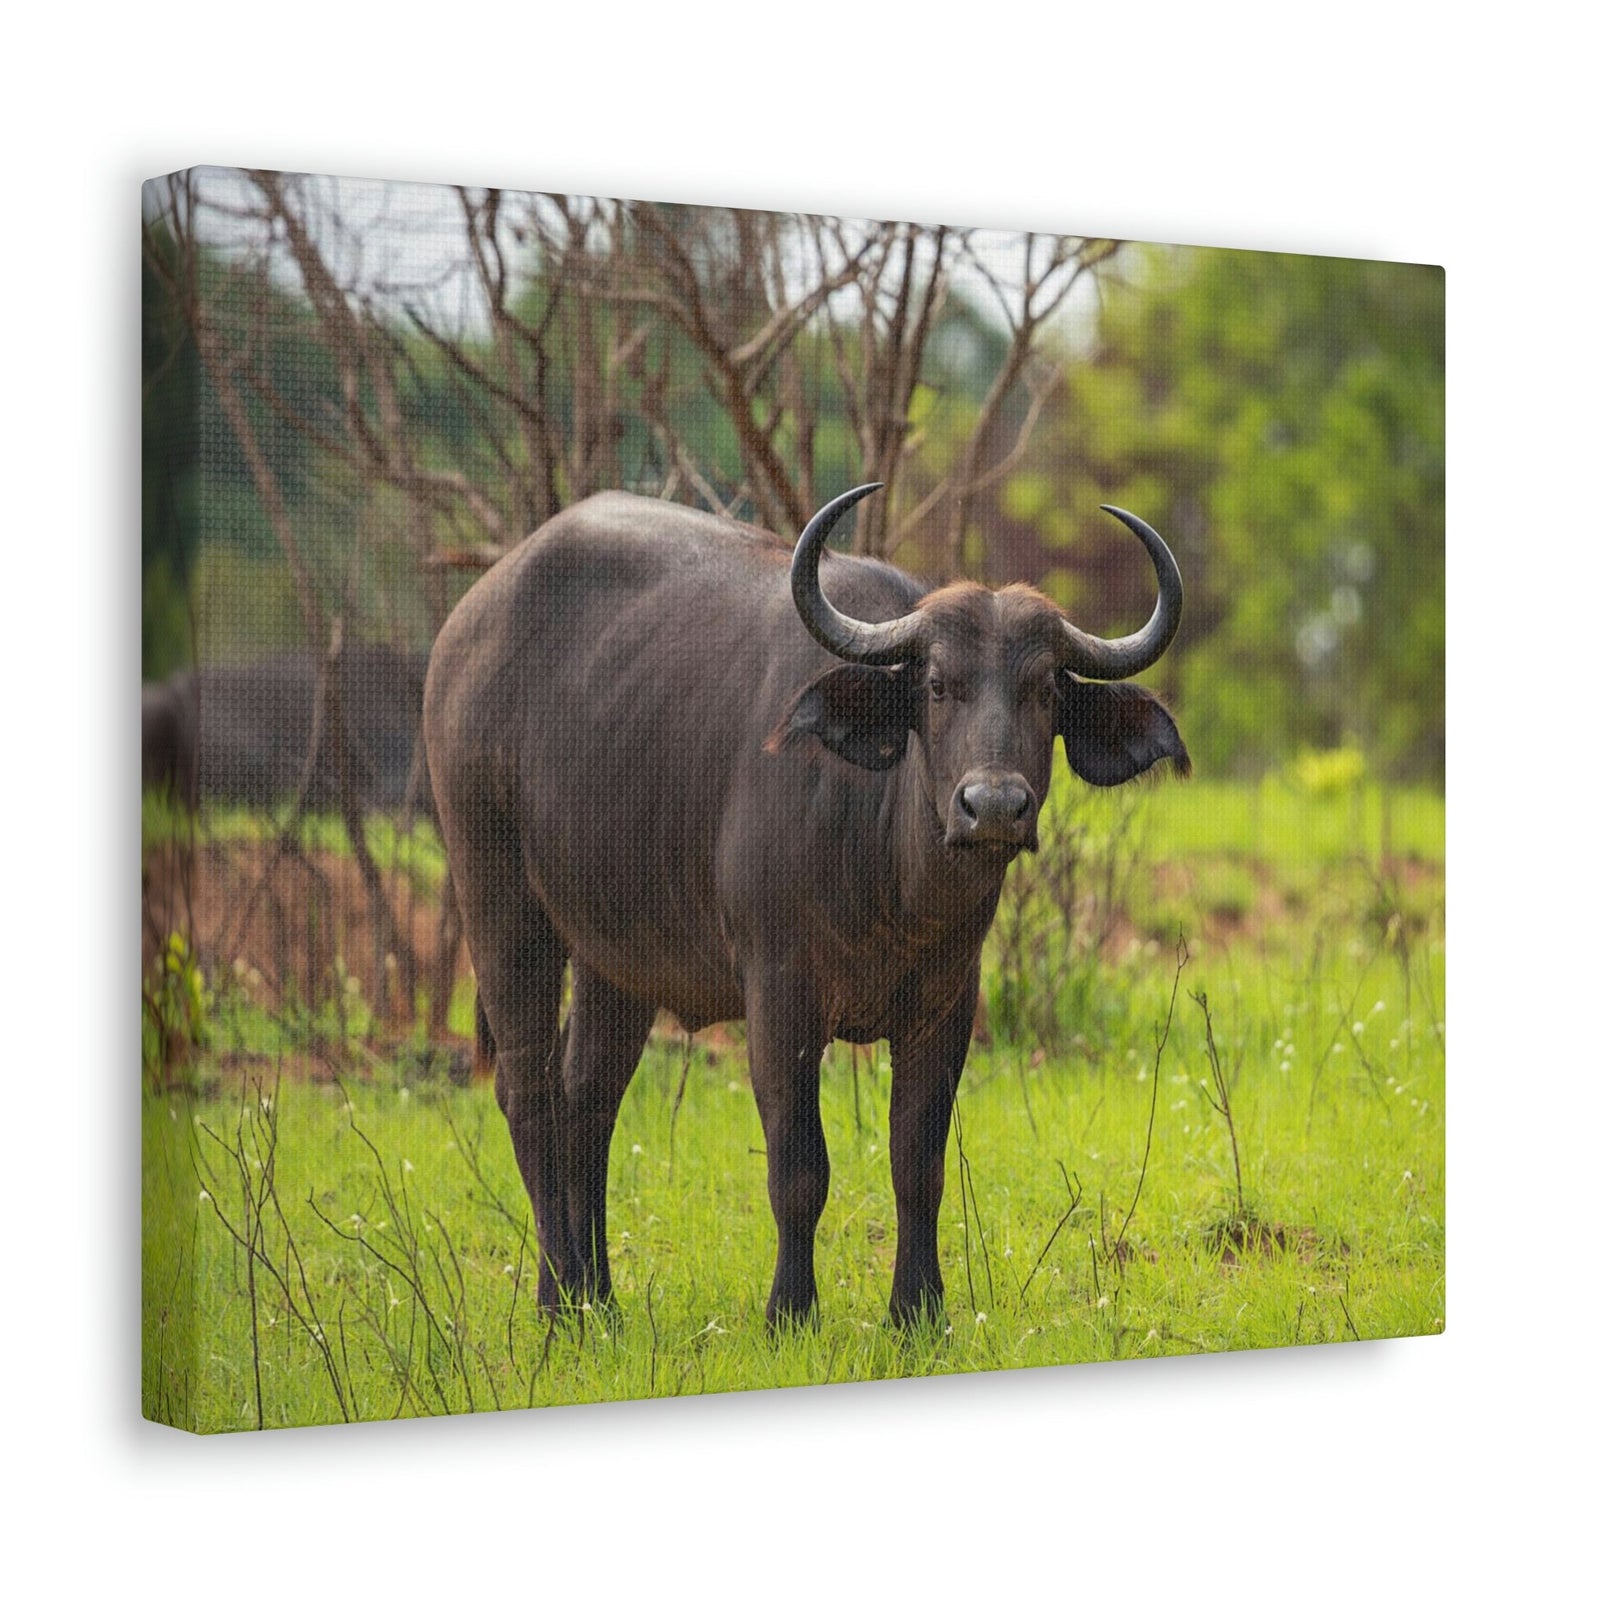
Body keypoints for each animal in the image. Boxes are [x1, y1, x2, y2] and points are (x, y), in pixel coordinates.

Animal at [423, 483, 1187, 1328]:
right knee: (527, 1092)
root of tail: (467, 627)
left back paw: (597, 1300)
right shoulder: (779, 994)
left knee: (586, 1094)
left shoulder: (947, 1005)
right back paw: (559, 1304)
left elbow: (918, 1163)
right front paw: (790, 1310)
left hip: (614, 954)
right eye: (937, 685)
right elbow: (798, 1167)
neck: (893, 884)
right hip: (497, 897)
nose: (993, 807)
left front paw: (917, 1312)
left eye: (1046, 690)